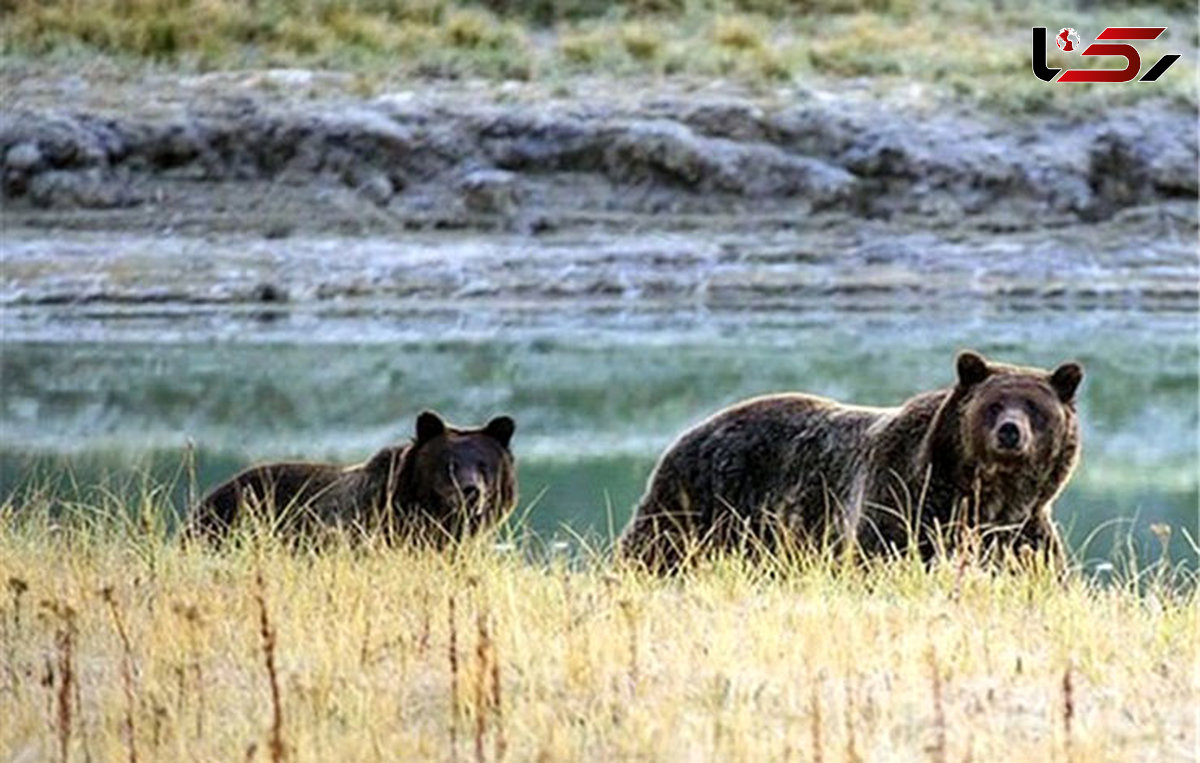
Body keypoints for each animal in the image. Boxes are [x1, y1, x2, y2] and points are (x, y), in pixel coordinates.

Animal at [624, 352, 1084, 571]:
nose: (1010, 431)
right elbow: (880, 556)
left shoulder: (1021, 531)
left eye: (1034, 407)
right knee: (654, 550)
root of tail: (690, 430)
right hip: (700, 500)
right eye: (994, 404)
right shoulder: (902, 501)